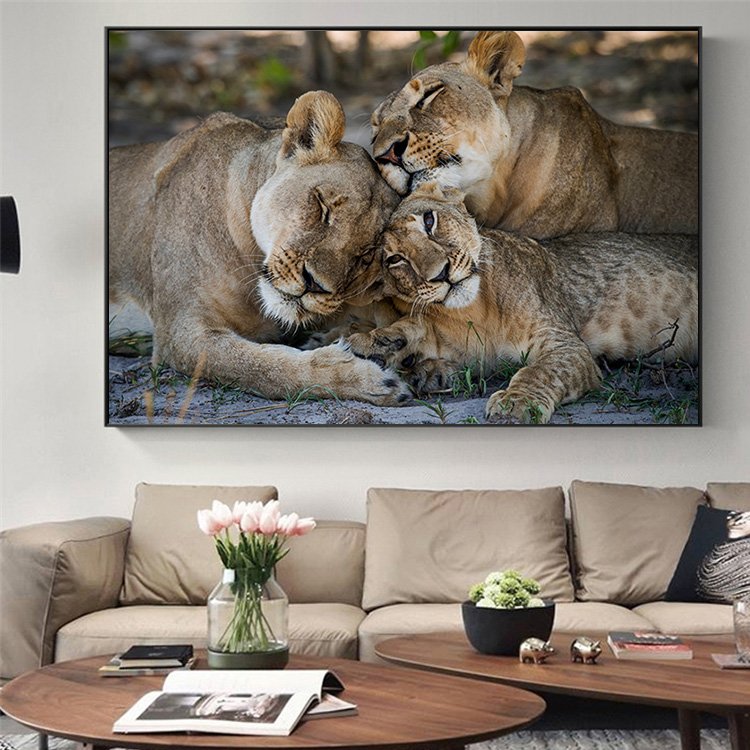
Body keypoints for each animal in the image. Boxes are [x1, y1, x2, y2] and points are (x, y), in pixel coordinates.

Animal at [109, 91, 411, 406]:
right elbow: (261, 368)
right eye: (322, 206)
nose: (313, 284)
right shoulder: (179, 333)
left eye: (367, 256)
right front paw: (362, 376)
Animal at [347, 182, 698, 423]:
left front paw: (515, 404)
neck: (474, 311)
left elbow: (538, 371)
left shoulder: (566, 344)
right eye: (395, 259)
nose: (441, 274)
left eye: (429, 221)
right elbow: (418, 326)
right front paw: (381, 344)